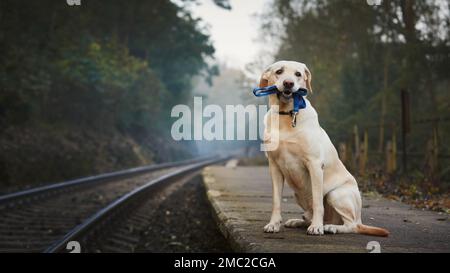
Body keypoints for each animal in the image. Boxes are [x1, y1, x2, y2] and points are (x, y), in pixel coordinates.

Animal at [262, 60, 388, 235]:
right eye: (279, 71)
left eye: (298, 74)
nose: (288, 83)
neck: (286, 115)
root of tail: (360, 219)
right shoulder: (274, 166)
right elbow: (276, 201)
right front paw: (273, 224)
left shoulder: (314, 164)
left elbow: (317, 202)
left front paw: (316, 227)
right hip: (298, 194)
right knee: (311, 215)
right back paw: (298, 221)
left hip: (336, 194)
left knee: (351, 225)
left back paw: (329, 227)